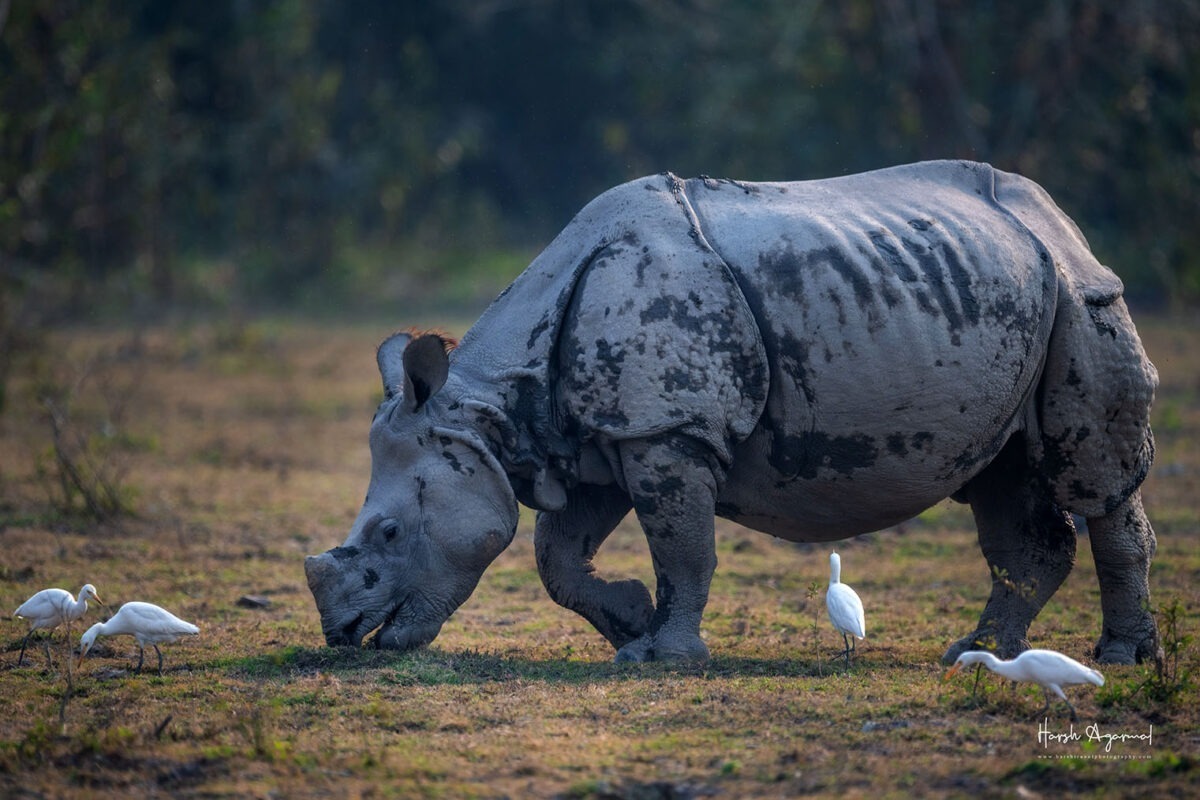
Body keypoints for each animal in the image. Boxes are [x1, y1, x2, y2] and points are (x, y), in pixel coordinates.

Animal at [306, 160, 1161, 666]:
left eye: (389, 533)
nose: (343, 637)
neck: (491, 410)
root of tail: (1058, 221)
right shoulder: (598, 434)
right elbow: (558, 557)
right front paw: (629, 625)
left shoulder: (666, 429)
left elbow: (683, 548)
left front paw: (664, 657)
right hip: (1008, 294)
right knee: (1001, 475)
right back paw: (976, 653)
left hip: (1082, 297)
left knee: (1093, 477)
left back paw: (1119, 659)